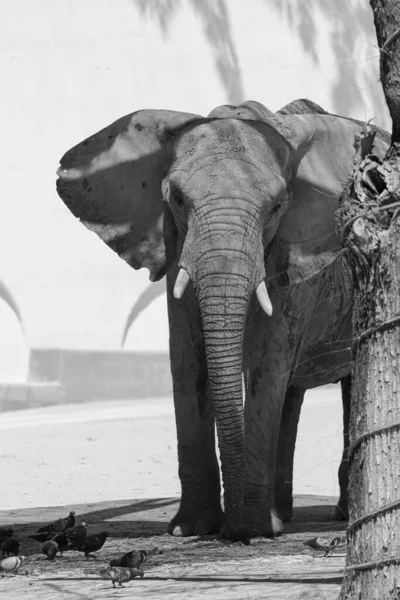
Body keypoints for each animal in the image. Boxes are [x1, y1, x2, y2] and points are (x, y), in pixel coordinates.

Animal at [54, 96, 390, 540]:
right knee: (292, 392)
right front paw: (191, 529)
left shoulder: (288, 258)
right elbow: (187, 362)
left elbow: (266, 365)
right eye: (177, 199)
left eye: (277, 207)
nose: (233, 531)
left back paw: (325, 513)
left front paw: (253, 528)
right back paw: (282, 513)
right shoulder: (176, 248)